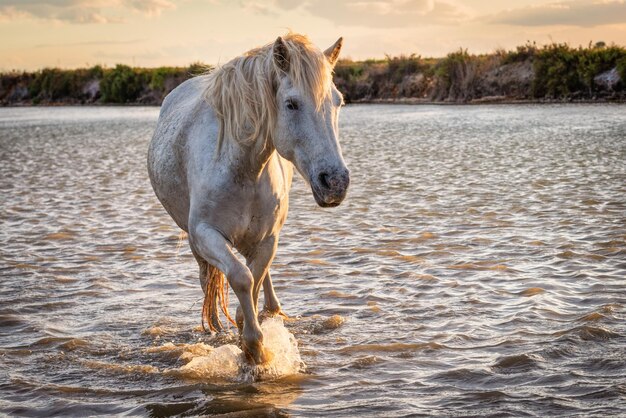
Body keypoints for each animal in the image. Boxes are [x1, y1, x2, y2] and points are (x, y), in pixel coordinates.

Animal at [148, 34, 348, 364]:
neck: (242, 167)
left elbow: (254, 281)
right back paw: (215, 326)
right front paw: (255, 348)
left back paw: (272, 310)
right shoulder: (205, 234)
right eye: (291, 104)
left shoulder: (268, 239)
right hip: (197, 242)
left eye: (338, 102)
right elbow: (241, 277)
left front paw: (250, 334)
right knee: (209, 279)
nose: (335, 182)